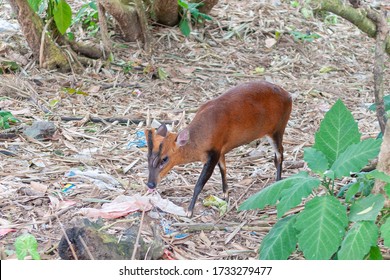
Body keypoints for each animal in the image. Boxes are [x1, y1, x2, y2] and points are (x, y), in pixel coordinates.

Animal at [145, 80, 290, 218]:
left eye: (164, 159)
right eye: (147, 157)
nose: (150, 184)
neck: (200, 137)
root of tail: (288, 95)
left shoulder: (213, 154)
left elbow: (199, 184)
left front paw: (189, 211)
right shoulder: (220, 150)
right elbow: (223, 169)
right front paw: (225, 194)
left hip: (277, 129)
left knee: (280, 155)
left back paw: (278, 184)